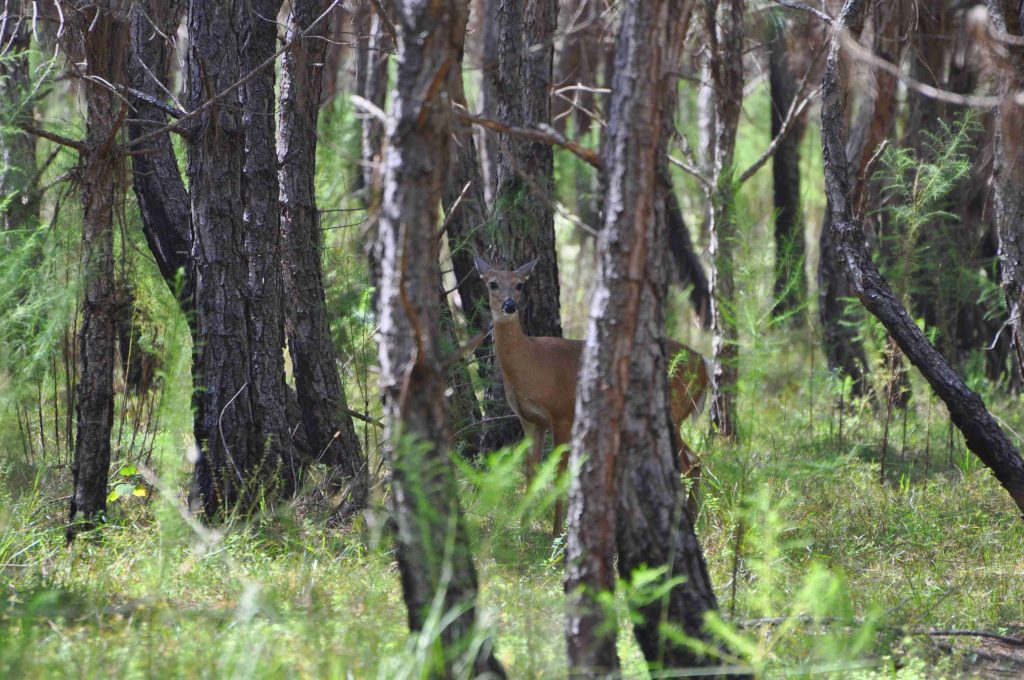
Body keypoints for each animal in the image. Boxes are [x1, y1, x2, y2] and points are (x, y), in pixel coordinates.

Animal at [473, 255, 708, 536]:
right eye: (492, 283)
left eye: (519, 284)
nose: (509, 305)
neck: (531, 364)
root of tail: (704, 365)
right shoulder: (529, 420)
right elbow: (531, 473)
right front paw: (523, 528)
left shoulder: (562, 414)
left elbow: (559, 476)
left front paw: (556, 533)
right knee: (695, 461)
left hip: (672, 409)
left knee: (690, 463)